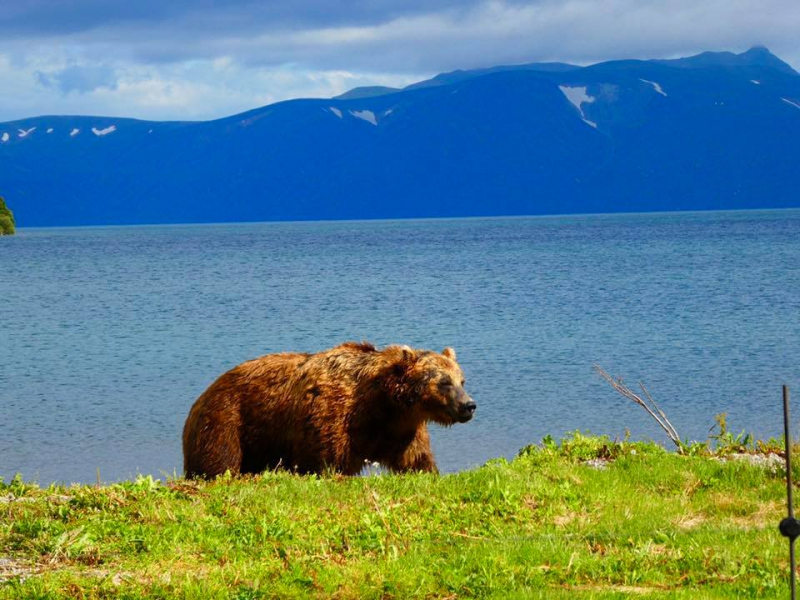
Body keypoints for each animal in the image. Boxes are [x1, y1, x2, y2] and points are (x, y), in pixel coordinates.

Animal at [181, 342, 476, 478]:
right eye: (444, 381)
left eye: (461, 380)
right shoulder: (331, 418)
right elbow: (325, 462)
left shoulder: (401, 430)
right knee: (219, 460)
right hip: (227, 421)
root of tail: (202, 395)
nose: (469, 405)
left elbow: (417, 461)